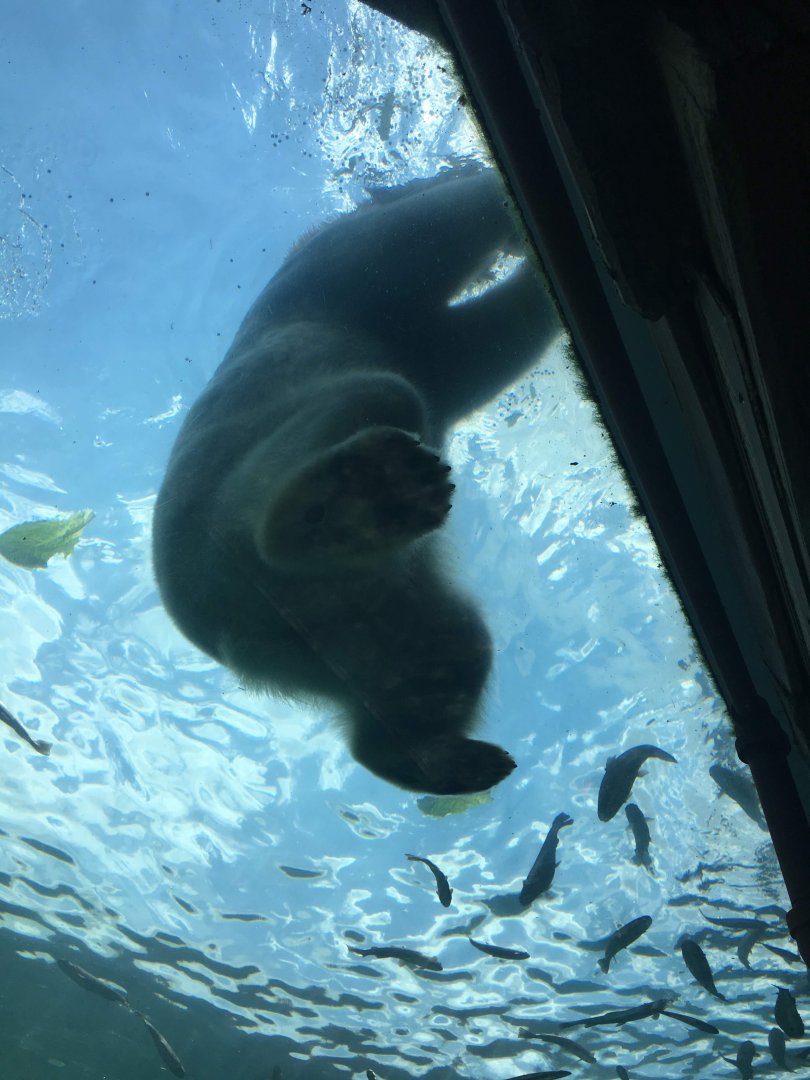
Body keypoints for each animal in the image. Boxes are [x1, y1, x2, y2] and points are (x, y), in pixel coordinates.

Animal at [152, 168, 558, 794]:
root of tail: (235, 627)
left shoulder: (434, 347)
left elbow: (501, 334)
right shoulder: (356, 275)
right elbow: (446, 222)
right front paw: (492, 193)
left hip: (367, 618)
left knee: (447, 648)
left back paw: (438, 757)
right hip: (236, 482)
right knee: (377, 398)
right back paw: (365, 498)